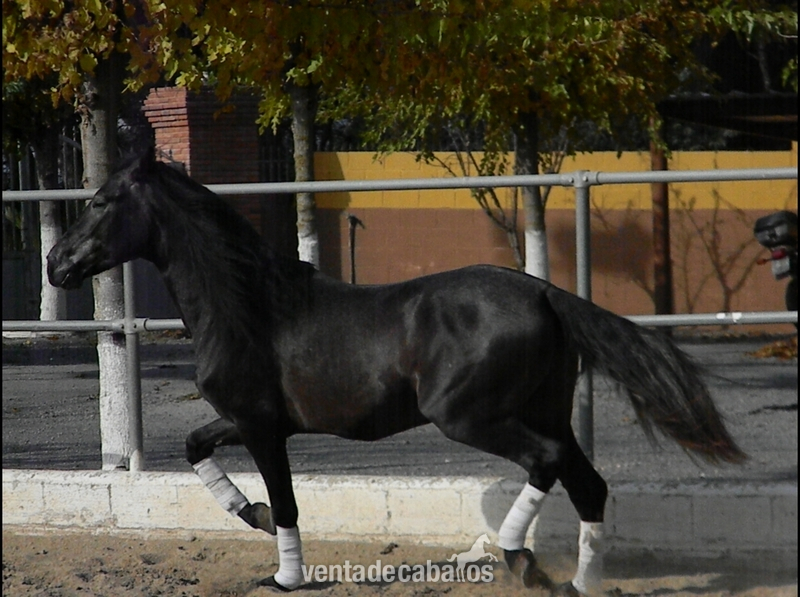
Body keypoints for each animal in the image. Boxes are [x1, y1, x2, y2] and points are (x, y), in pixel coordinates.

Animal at [47, 149, 745, 596]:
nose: (57, 264)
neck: (251, 307)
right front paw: (254, 517)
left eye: (102, 201)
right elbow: (195, 447)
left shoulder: (262, 426)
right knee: (588, 485)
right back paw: (578, 583)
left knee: (545, 463)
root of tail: (545, 293)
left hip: (470, 417)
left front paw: (284, 576)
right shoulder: (245, 420)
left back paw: (520, 560)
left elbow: (289, 501)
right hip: (545, 409)